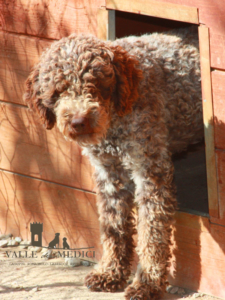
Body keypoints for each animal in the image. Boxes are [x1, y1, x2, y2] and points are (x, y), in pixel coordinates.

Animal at [23, 27, 203, 298]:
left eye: (95, 83)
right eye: (58, 90)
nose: (78, 121)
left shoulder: (150, 171)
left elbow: (152, 232)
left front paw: (147, 283)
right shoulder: (109, 174)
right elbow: (113, 226)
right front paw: (111, 272)